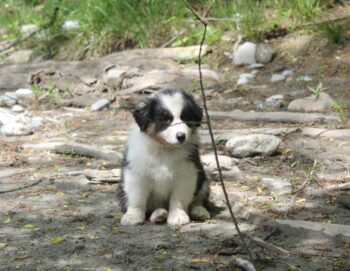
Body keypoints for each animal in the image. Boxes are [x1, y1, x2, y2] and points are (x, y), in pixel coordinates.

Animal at [117, 89, 211, 227]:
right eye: (165, 120)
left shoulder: (186, 173)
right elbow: (137, 197)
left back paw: (199, 211)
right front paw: (133, 217)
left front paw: (178, 216)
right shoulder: (136, 173)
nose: (181, 136)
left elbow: (179, 198)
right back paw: (159, 214)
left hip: (203, 180)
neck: (164, 149)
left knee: (198, 199)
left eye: (186, 118)